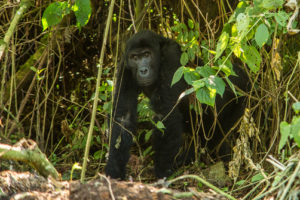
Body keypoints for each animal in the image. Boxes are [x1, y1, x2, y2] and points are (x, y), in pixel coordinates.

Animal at [105, 30, 248, 180]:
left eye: (146, 55)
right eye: (134, 58)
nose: (143, 70)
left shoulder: (171, 56)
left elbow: (167, 114)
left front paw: (162, 172)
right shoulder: (124, 67)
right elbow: (123, 118)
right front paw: (114, 170)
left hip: (241, 91)